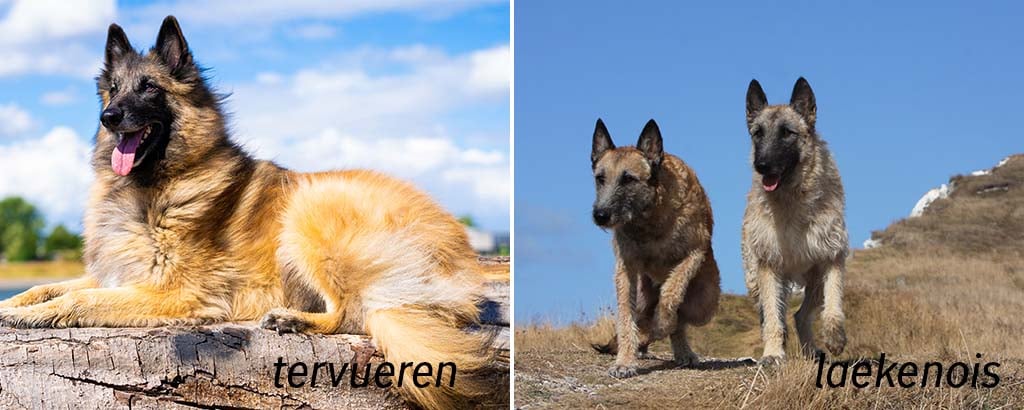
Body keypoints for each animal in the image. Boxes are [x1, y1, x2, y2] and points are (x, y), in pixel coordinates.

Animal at [0, 16, 505, 410]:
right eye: (114, 89)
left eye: (150, 89)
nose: (108, 117)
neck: (160, 183)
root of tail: (460, 257)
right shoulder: (116, 273)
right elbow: (48, 286)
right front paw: (14, 303)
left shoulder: (174, 292)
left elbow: (82, 300)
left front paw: (37, 316)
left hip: (307, 213)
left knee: (351, 313)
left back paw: (293, 319)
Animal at [589, 118, 724, 377]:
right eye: (600, 178)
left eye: (628, 179)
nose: (600, 215)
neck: (649, 219)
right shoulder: (626, 270)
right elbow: (626, 318)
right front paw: (625, 361)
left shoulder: (693, 255)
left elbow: (671, 293)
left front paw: (662, 321)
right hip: (643, 296)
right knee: (643, 319)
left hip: (705, 302)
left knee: (680, 318)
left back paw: (678, 347)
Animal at [745, 77, 847, 364]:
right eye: (758, 133)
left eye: (787, 132)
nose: (761, 165)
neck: (792, 200)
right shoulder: (768, 264)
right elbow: (772, 317)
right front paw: (772, 353)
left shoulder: (831, 257)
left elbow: (834, 303)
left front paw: (835, 337)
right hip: (757, 279)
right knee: (774, 315)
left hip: (814, 283)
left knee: (800, 315)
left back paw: (812, 350)